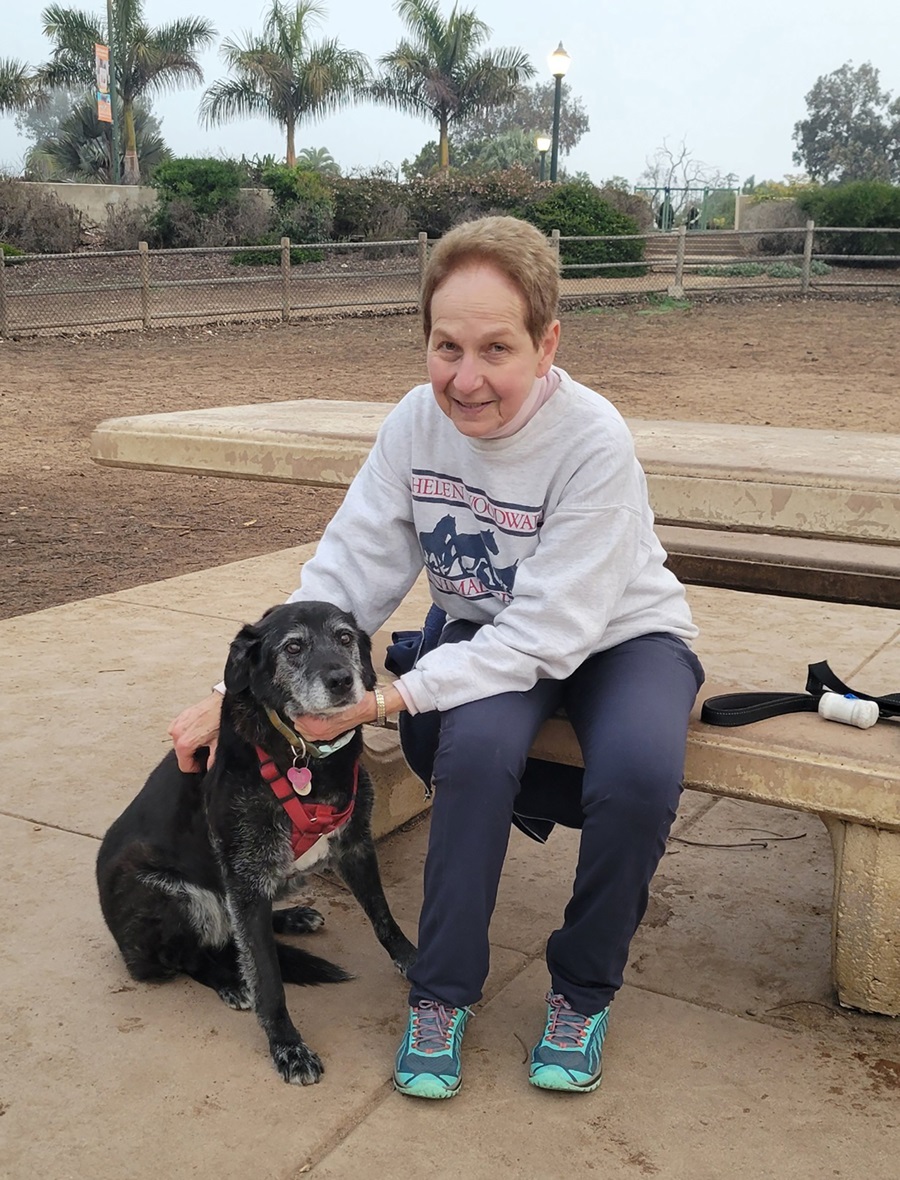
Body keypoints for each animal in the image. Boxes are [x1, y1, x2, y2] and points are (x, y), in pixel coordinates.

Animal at [94, 604, 419, 1080]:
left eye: (344, 638)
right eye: (294, 647)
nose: (342, 680)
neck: (304, 757)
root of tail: (124, 947)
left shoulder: (354, 846)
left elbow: (383, 916)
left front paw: (413, 962)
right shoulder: (246, 880)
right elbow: (267, 976)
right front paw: (288, 1047)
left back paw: (292, 918)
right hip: (173, 893)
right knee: (189, 956)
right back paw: (230, 981)